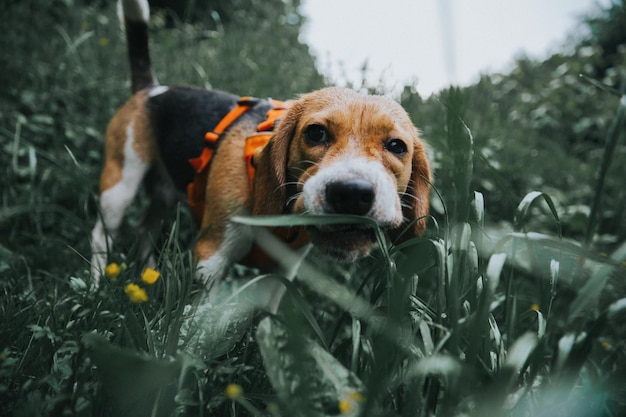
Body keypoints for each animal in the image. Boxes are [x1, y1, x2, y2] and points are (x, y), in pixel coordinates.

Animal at [90, 0, 432, 290]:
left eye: (396, 146)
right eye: (315, 133)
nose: (351, 193)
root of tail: (151, 89)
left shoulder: (282, 272)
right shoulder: (210, 258)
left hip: (164, 192)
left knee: (144, 229)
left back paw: (147, 275)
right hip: (119, 185)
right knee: (101, 235)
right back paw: (96, 283)